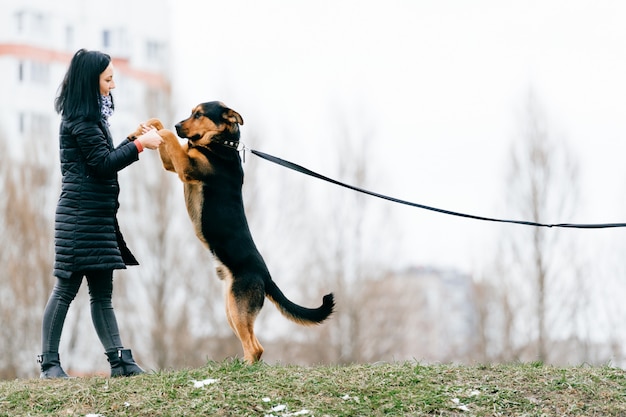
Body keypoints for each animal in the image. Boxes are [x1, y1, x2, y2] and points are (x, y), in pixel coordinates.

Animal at [134, 101, 334, 364]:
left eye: (199, 114)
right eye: (190, 113)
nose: (178, 125)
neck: (221, 144)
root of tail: (266, 276)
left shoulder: (186, 167)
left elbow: (167, 136)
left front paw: (158, 132)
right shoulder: (174, 164)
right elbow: (160, 126)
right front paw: (140, 131)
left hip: (238, 307)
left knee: (255, 347)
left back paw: (244, 368)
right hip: (231, 308)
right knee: (254, 344)